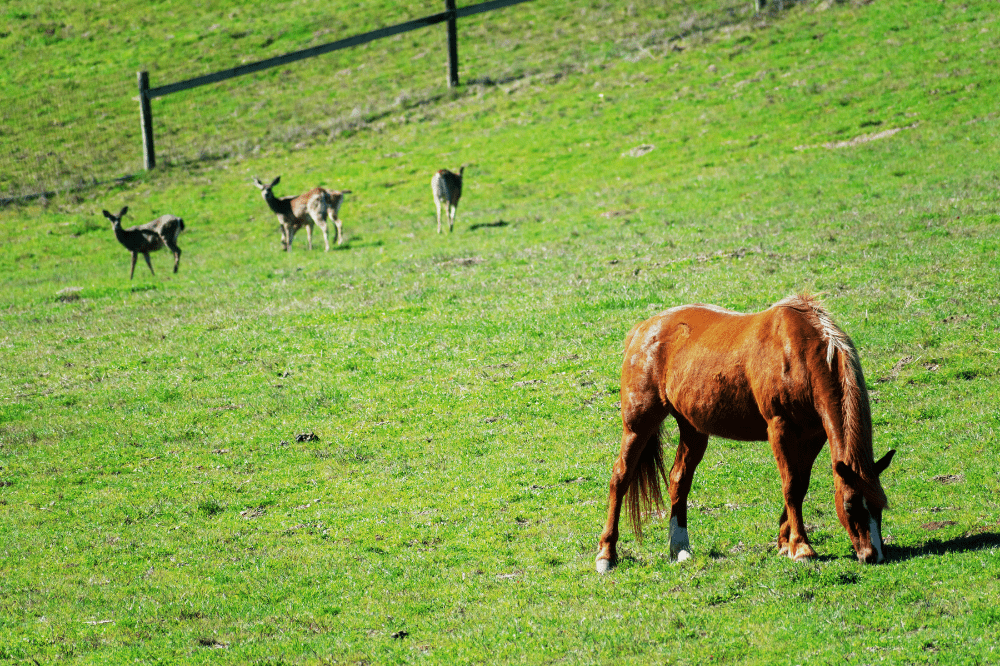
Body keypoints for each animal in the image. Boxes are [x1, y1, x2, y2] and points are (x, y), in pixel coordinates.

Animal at [595, 294, 895, 573]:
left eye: (880, 506)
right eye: (850, 505)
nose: (873, 555)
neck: (799, 351)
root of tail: (642, 329)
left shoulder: (814, 435)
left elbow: (801, 484)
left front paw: (785, 542)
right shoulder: (779, 428)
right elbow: (791, 485)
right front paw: (801, 548)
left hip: (693, 428)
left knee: (678, 479)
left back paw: (680, 548)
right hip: (638, 424)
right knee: (620, 477)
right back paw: (606, 554)